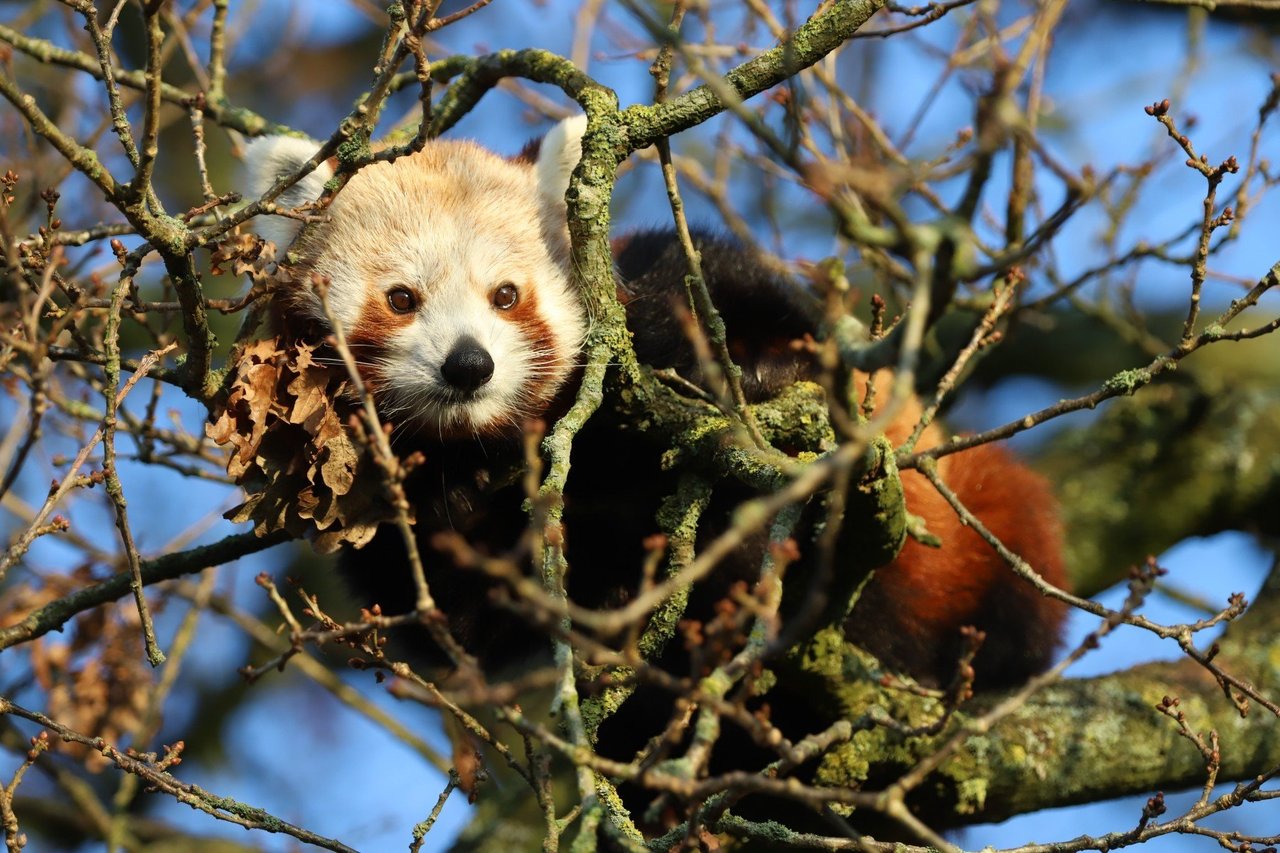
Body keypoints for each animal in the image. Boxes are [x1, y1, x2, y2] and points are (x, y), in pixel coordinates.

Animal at [241, 114, 1070, 691]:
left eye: (506, 296)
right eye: (402, 299)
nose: (469, 365)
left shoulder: (664, 284)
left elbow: (729, 298)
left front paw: (758, 374)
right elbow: (464, 615)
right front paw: (461, 500)